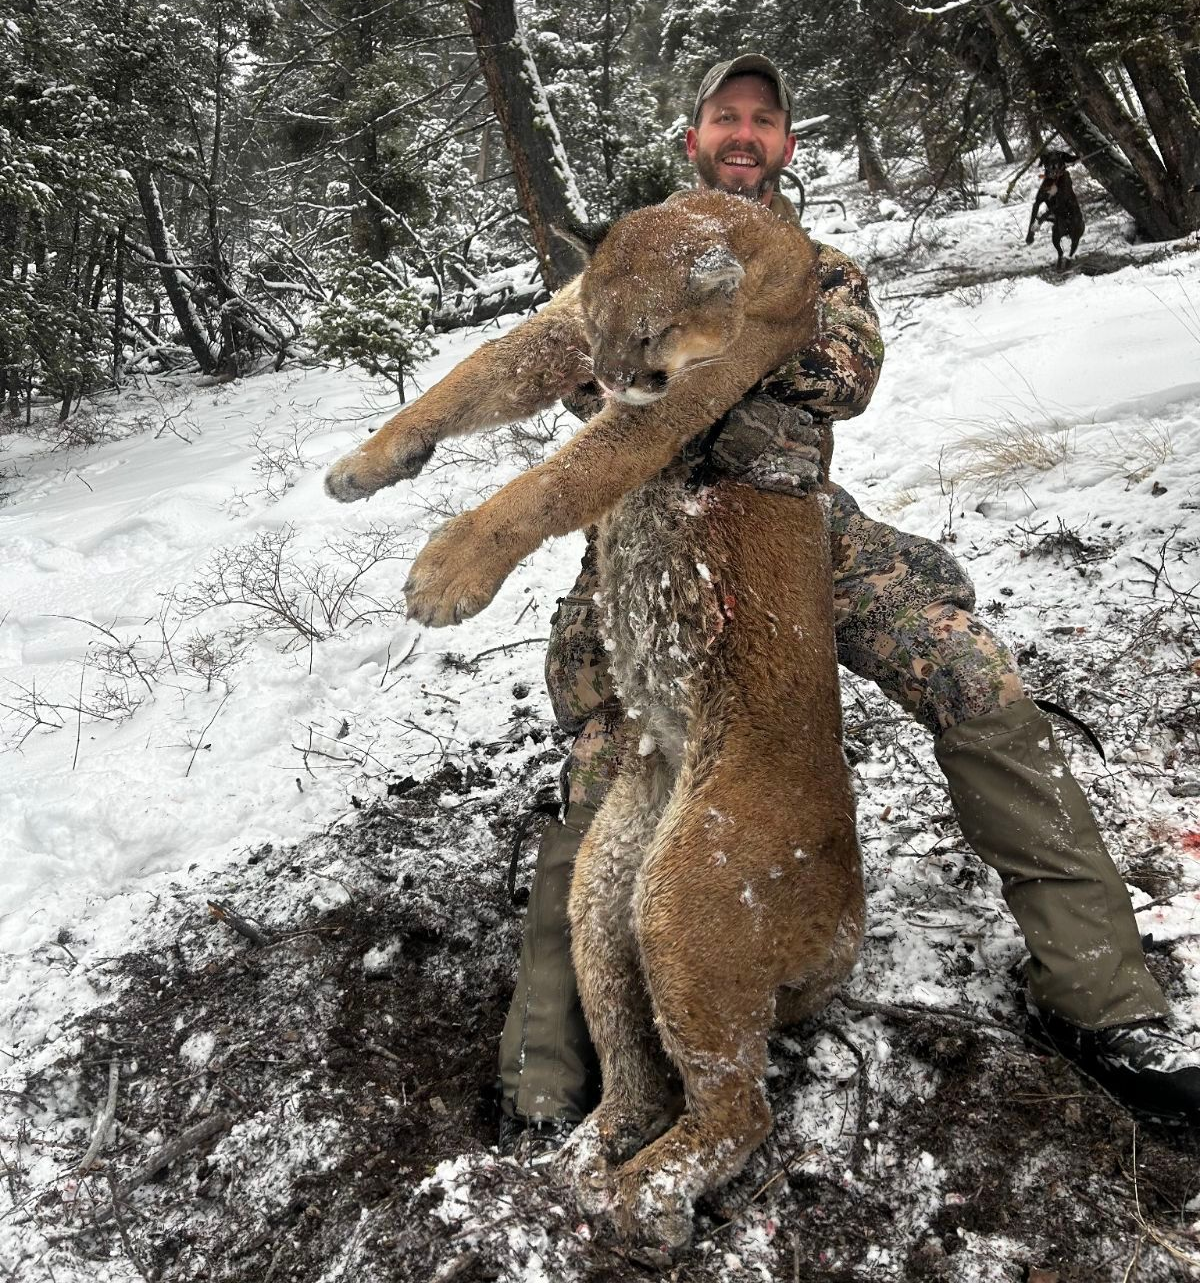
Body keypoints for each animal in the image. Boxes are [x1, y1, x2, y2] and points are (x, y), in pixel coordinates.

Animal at [325, 189, 864, 1261]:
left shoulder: (691, 395)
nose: (617, 376)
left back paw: (636, 1198)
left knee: (741, 1108)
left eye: (650, 333)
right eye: (609, 331)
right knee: (643, 1067)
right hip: (611, 885)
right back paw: (581, 1156)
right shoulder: (562, 327)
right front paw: (366, 464)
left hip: (691, 897)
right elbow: (459, 383)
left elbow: (559, 479)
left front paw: (447, 573)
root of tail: (855, 917)